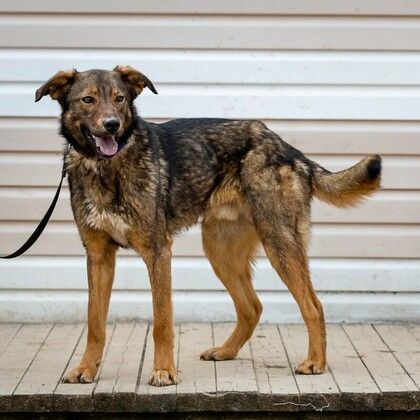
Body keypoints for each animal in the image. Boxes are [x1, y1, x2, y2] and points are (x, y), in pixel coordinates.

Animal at [36, 66, 382, 388]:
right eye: (88, 100)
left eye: (120, 99)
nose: (112, 125)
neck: (106, 167)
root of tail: (289, 149)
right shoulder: (98, 257)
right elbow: (95, 323)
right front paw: (86, 369)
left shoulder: (158, 253)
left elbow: (162, 322)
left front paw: (164, 371)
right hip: (220, 250)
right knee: (252, 306)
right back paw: (226, 351)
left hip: (278, 242)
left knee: (313, 305)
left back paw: (315, 362)